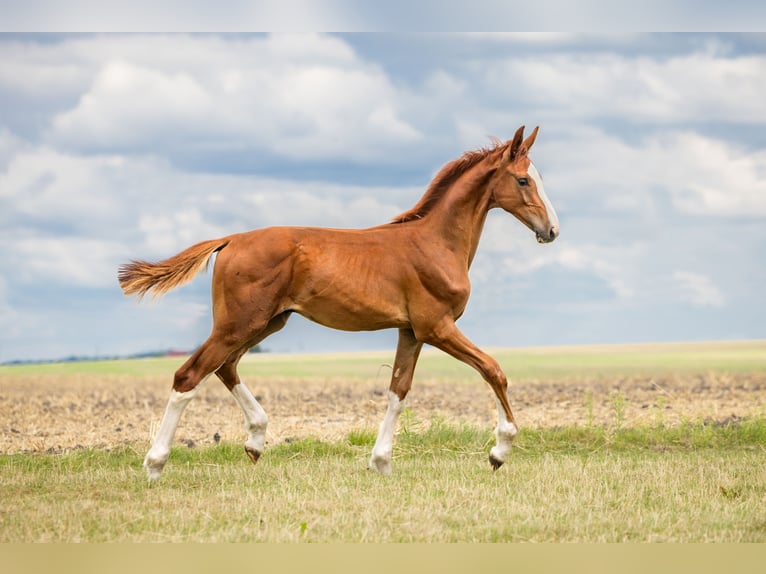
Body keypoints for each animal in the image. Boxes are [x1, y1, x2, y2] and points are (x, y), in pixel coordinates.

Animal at [121, 126, 564, 482]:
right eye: (523, 180)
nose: (552, 231)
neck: (435, 242)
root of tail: (230, 239)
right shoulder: (437, 326)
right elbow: (494, 370)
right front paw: (499, 451)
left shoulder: (411, 331)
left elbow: (398, 390)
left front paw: (381, 462)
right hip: (241, 323)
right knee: (189, 375)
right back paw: (155, 464)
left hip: (268, 322)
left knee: (224, 367)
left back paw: (256, 441)